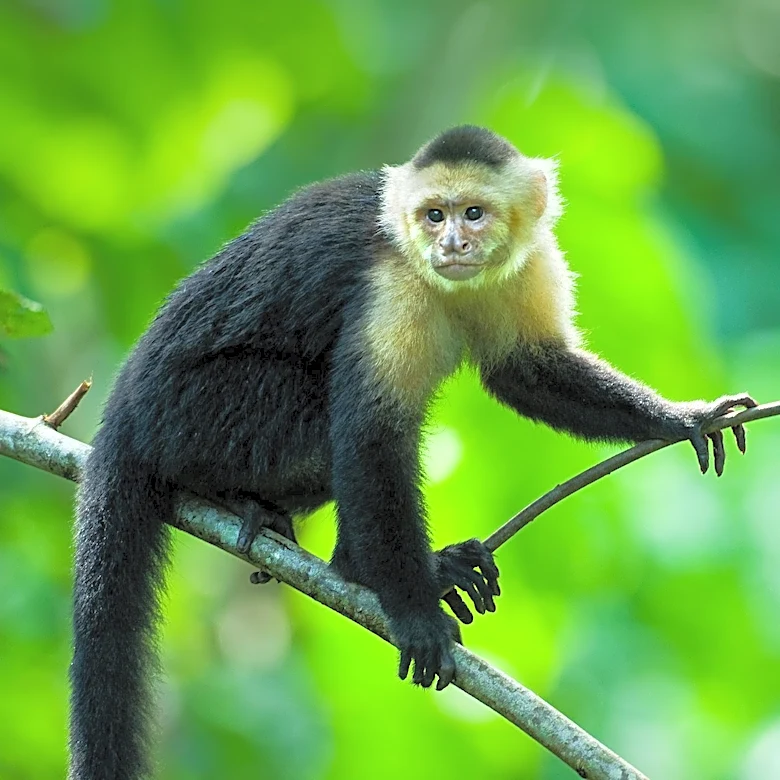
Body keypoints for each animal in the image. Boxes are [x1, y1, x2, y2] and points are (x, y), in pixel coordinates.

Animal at [69, 124, 755, 780]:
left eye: (472, 214)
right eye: (433, 216)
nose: (449, 245)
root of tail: (122, 408)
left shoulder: (533, 262)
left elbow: (529, 371)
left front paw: (679, 418)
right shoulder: (391, 284)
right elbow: (370, 434)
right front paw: (412, 613)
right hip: (193, 413)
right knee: (322, 418)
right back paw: (337, 557)